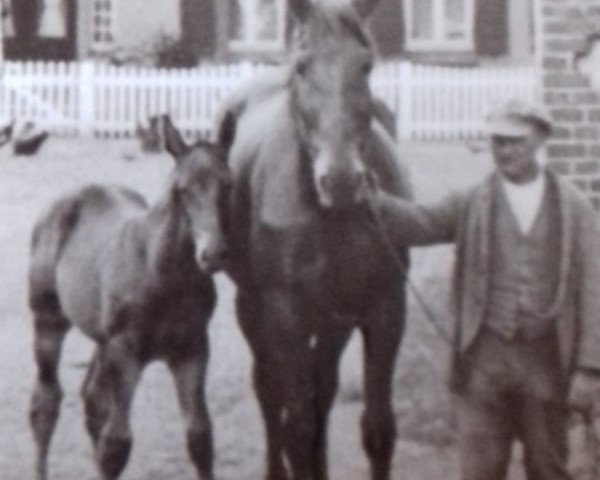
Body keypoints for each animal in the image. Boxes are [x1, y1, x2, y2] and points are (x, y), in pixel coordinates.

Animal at [27, 117, 230, 480]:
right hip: (48, 319)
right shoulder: (125, 352)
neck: (162, 273)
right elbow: (117, 445)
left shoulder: (192, 351)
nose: (214, 253)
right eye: (182, 191)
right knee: (45, 402)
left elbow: (200, 437)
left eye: (229, 186)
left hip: (101, 336)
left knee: (92, 399)